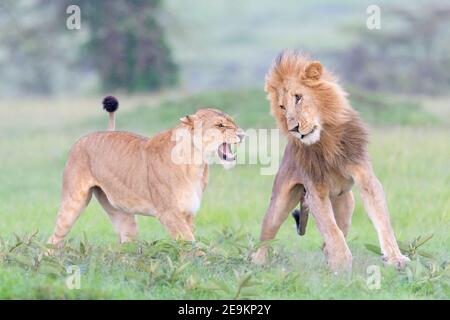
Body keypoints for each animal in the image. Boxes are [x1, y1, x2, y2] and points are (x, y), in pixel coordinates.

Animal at [48, 96, 244, 246]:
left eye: (233, 122)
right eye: (220, 125)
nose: (242, 135)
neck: (197, 162)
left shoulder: (188, 212)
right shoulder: (169, 212)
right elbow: (189, 241)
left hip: (123, 216)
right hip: (73, 203)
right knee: (53, 239)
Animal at [251, 51, 410, 272]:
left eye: (298, 97)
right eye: (282, 107)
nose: (293, 128)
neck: (325, 138)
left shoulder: (365, 177)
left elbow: (381, 220)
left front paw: (395, 258)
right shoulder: (315, 192)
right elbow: (331, 229)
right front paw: (342, 264)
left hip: (346, 204)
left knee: (334, 234)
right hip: (279, 203)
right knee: (267, 234)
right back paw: (257, 261)